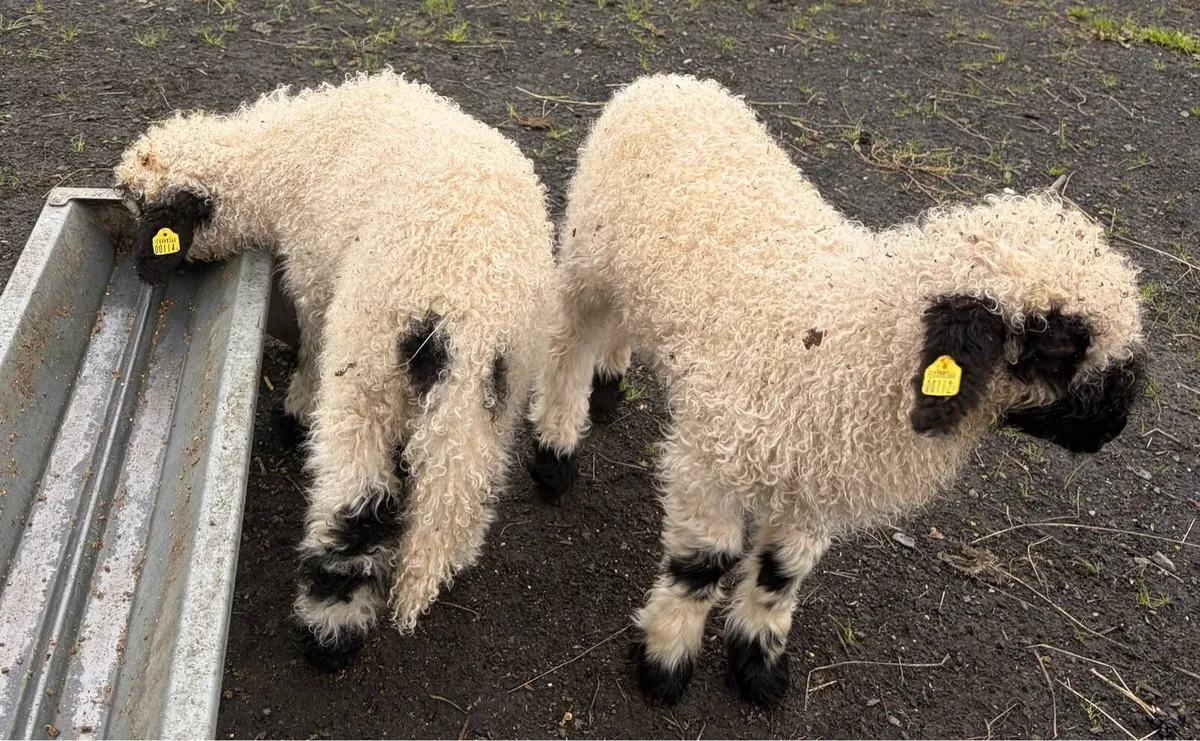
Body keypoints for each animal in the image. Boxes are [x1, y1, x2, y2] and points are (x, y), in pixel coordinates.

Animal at [115, 69, 554, 670]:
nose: (140, 272)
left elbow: (308, 349)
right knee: (460, 489)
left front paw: (294, 414)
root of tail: (470, 312)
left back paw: (330, 631)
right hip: (490, 399)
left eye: (146, 215)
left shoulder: (314, 283)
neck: (282, 155)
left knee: (358, 503)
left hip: (365, 368)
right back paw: (449, 561)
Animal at [527, 74, 1146, 709]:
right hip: (586, 259)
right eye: (1058, 346)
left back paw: (608, 388)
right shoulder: (711, 460)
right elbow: (702, 567)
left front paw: (758, 664)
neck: (850, 345)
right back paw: (555, 450)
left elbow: (780, 575)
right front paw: (664, 663)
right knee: (566, 347)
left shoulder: (820, 479)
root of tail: (668, 82)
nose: (1115, 423)